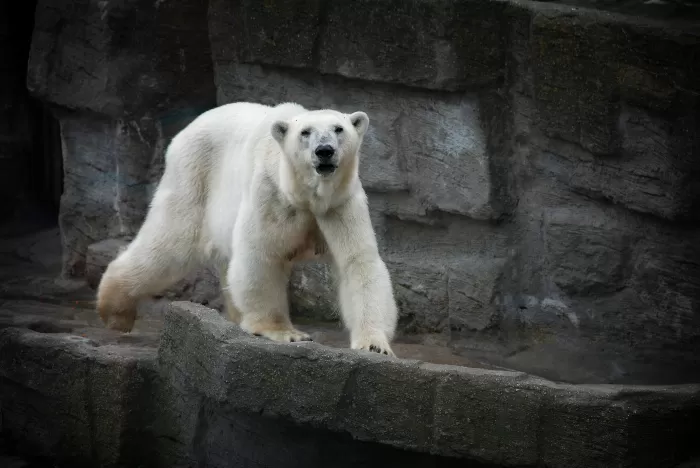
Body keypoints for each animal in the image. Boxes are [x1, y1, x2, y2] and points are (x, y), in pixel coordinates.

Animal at [96, 101, 399, 355]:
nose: (324, 151)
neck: (305, 195)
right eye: (305, 132)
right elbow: (260, 255)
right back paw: (116, 312)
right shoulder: (271, 194)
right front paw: (286, 333)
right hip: (193, 176)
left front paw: (374, 345)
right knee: (170, 243)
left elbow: (358, 263)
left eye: (339, 129)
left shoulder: (340, 205)